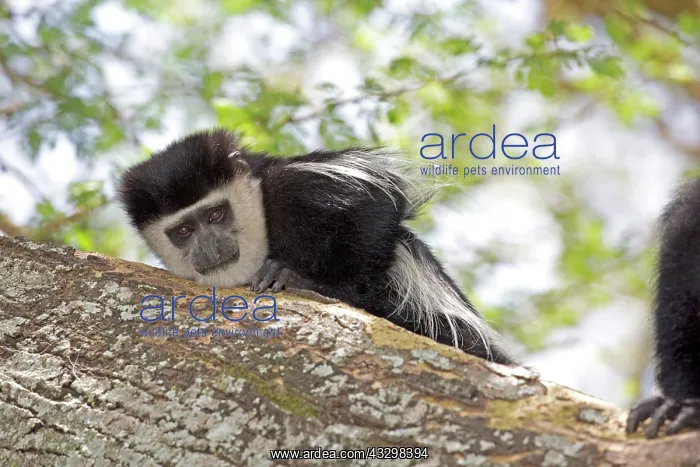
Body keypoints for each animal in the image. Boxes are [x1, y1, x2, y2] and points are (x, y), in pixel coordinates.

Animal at [117, 128, 514, 365]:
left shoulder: (293, 187)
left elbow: (379, 206)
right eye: (183, 230)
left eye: (215, 215)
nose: (209, 245)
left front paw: (311, 282)